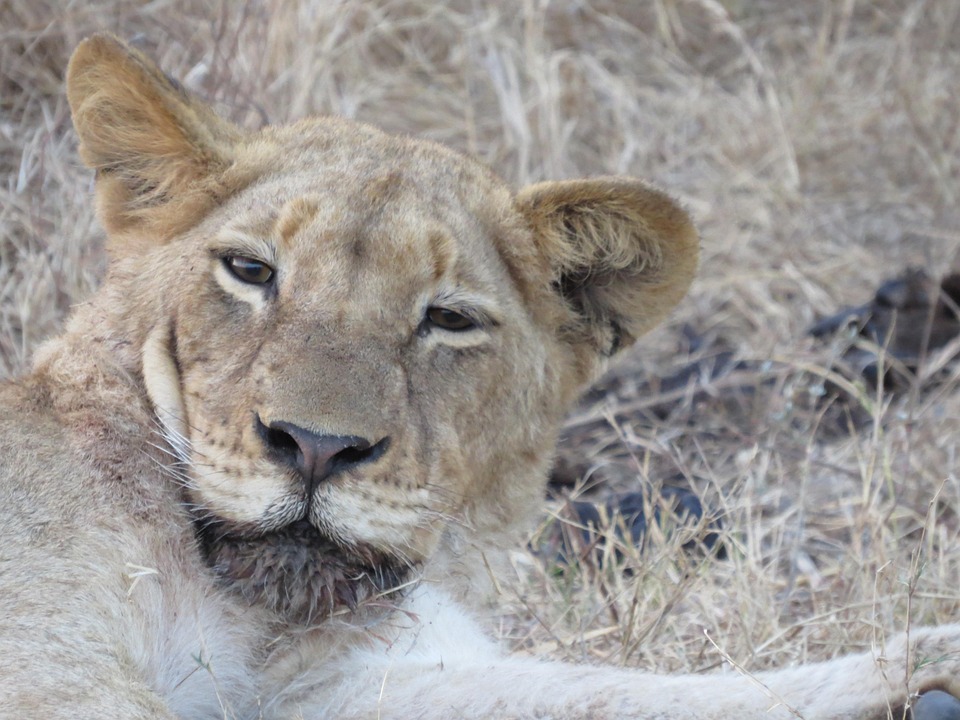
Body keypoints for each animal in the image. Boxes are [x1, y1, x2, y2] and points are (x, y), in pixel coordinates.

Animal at [1, 33, 959, 720]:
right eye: (249, 271)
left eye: (449, 320)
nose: (315, 448)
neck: (252, 620)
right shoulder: (52, 665)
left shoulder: (335, 684)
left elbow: (620, 690)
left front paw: (926, 665)